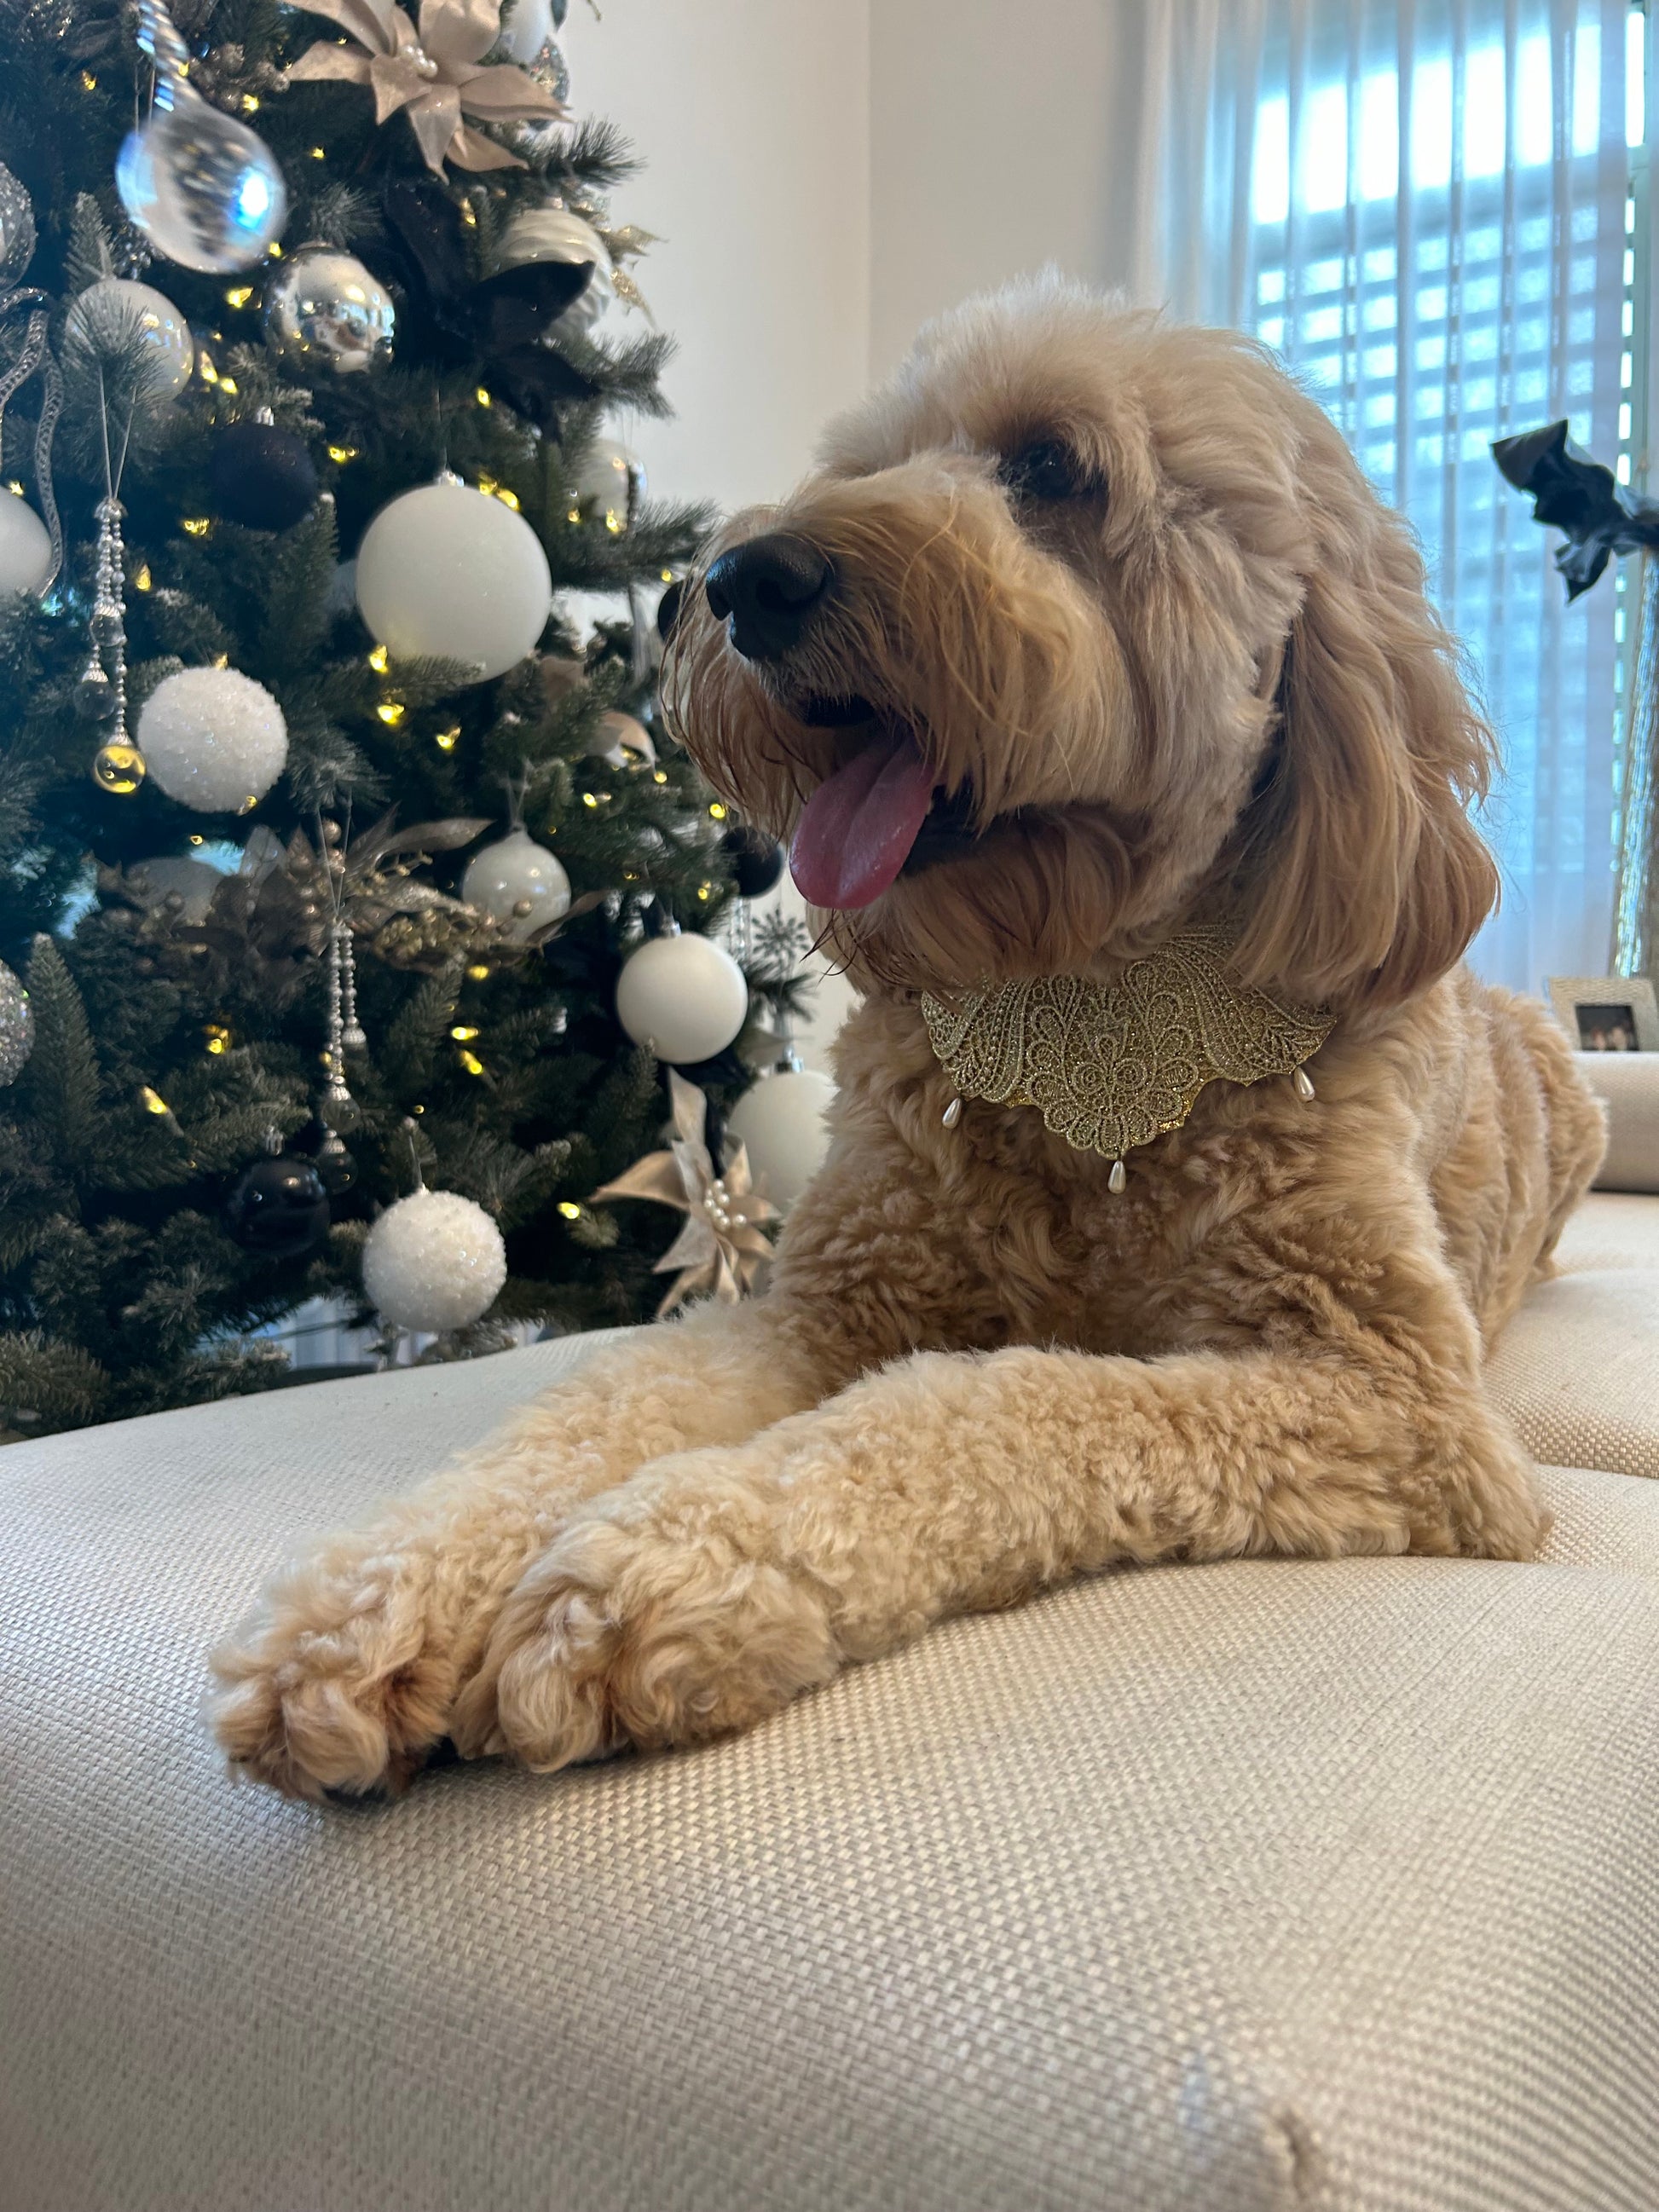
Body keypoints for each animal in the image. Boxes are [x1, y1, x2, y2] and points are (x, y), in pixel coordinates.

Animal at [211, 279, 1606, 1801]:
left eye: (1052, 465)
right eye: (865, 464)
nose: (735, 582)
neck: (1079, 1012)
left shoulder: (1393, 1401)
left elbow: (999, 1404)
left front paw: (658, 1568)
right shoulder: (822, 1308)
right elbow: (596, 1403)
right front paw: (374, 1598)